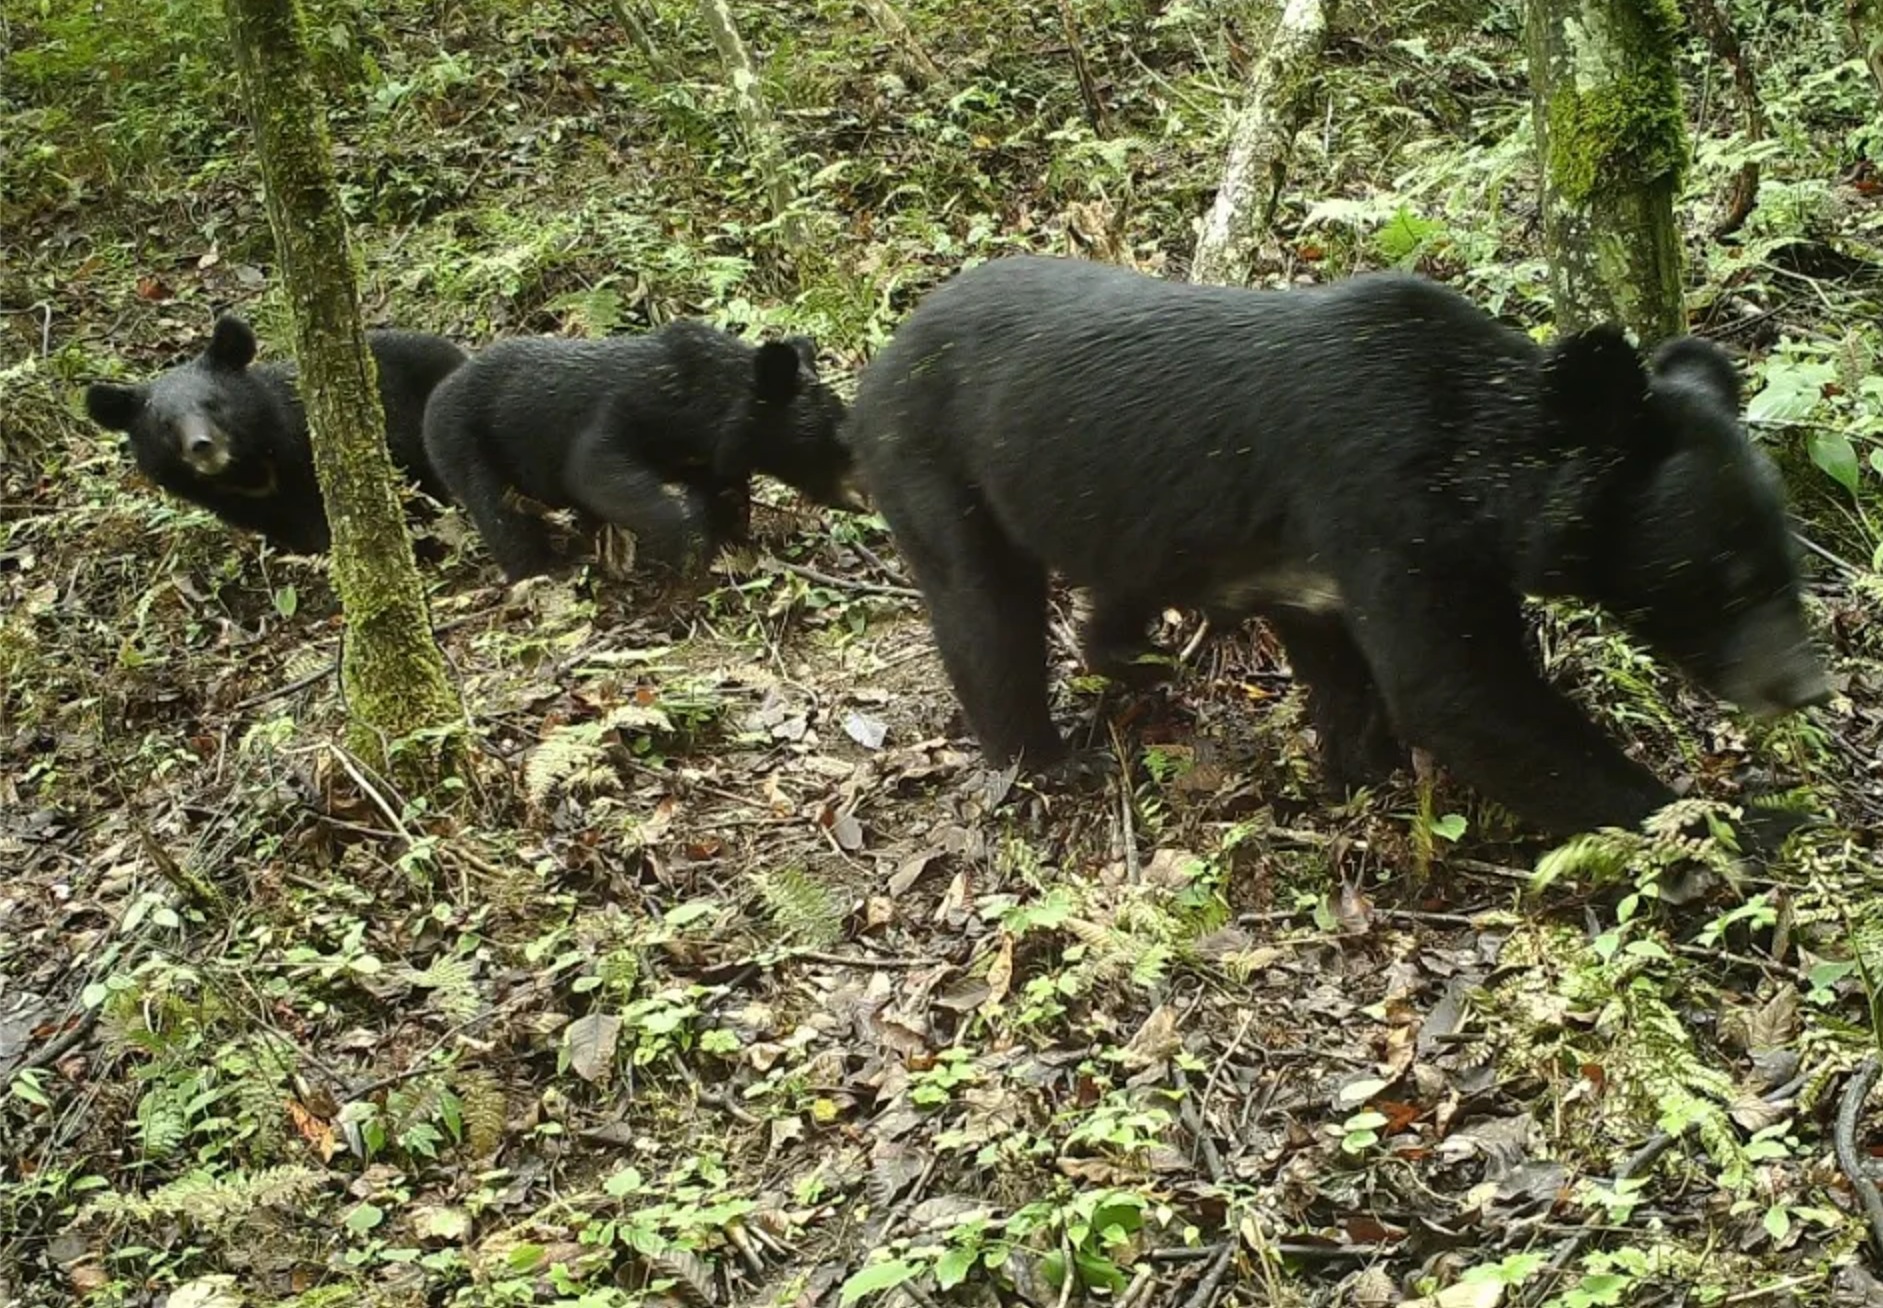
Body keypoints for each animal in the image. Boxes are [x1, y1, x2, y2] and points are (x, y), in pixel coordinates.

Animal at [423, 318, 858, 583]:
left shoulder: (707, 457)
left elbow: (726, 491)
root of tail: (437, 393)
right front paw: (690, 549)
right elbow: (595, 470)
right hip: (465, 443)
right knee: (499, 515)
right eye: (829, 440)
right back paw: (537, 569)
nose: (862, 496)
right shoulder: (626, 411)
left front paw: (732, 538)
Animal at [851, 257, 1822, 839]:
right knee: (985, 613)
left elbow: (1346, 668)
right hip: (934, 464)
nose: (1806, 687)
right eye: (1727, 580)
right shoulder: (1382, 503)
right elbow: (1460, 693)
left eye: (1787, 564)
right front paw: (1730, 825)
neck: (1476, 461)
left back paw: (1133, 661)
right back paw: (1045, 756)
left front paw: (1361, 767)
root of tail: (877, 361)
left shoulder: (1312, 564)